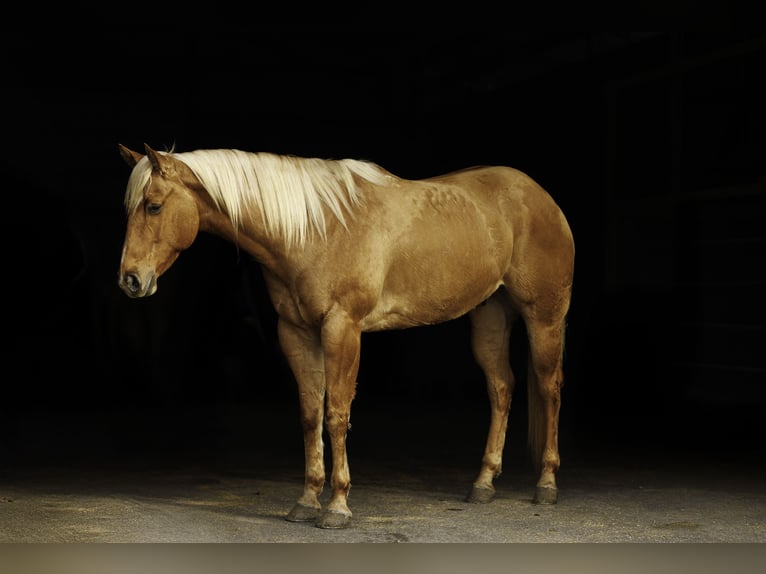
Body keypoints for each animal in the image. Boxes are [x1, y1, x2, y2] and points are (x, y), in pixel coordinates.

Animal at [116, 143, 575, 529]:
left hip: (544, 318)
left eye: (154, 207)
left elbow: (336, 414)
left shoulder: (342, 328)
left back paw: (546, 485)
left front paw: (337, 506)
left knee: (549, 387)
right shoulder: (297, 333)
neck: (313, 230)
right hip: (489, 318)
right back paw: (483, 483)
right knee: (502, 389)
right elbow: (309, 415)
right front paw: (306, 501)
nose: (131, 280)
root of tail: (541, 197)